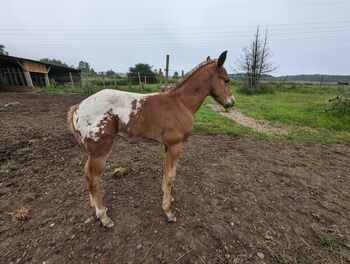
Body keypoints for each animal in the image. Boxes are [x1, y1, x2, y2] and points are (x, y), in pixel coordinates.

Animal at [66, 51, 235, 227]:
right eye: (226, 80)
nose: (231, 103)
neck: (181, 103)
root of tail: (78, 108)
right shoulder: (175, 145)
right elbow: (171, 176)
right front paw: (168, 211)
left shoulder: (168, 145)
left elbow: (166, 171)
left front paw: (169, 197)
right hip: (100, 151)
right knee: (93, 179)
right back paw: (104, 217)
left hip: (92, 153)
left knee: (87, 174)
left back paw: (95, 205)